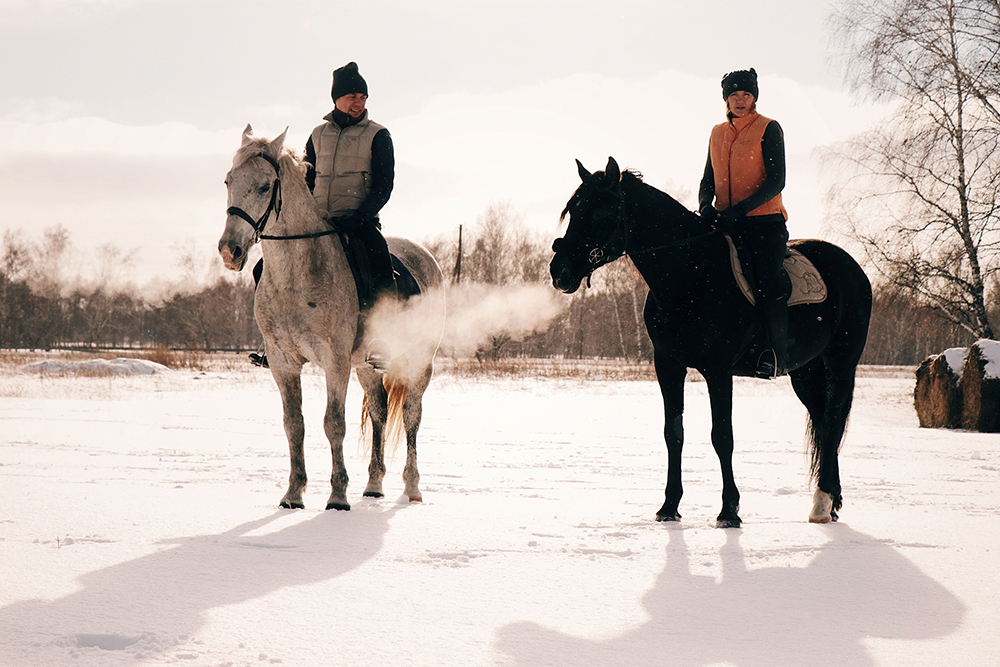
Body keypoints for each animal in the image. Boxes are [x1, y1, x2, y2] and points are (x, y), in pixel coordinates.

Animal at [219, 126, 446, 512]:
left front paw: (338, 496)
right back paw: (373, 485)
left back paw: (412, 487)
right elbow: (293, 424)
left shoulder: (335, 361)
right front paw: (293, 494)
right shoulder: (282, 362)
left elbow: (333, 423)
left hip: (418, 360)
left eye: (265, 186)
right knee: (380, 412)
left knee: (412, 415)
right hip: (368, 366)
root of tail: (426, 257)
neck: (296, 276)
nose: (229, 251)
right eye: (228, 181)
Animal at [552, 158, 872, 528]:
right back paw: (831, 501)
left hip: (840, 365)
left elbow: (722, 436)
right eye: (573, 210)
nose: (559, 270)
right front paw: (669, 506)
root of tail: (854, 269)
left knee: (832, 423)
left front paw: (729, 511)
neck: (689, 273)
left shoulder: (718, 371)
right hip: (805, 372)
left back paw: (822, 502)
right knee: (823, 423)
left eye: (602, 211)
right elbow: (673, 433)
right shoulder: (668, 366)